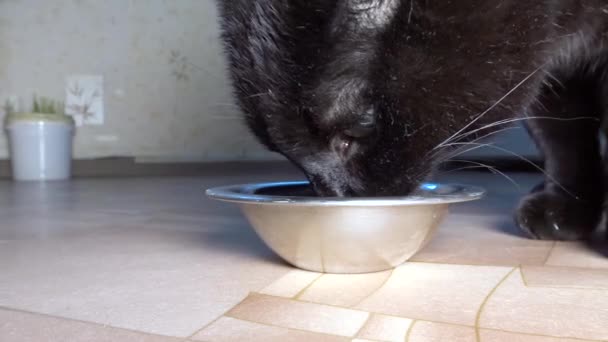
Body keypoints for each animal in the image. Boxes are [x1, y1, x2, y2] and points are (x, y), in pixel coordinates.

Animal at [217, 0, 608, 240]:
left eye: (349, 137)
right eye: (287, 153)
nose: (336, 195)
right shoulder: (552, 78)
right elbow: (563, 139)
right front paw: (564, 207)